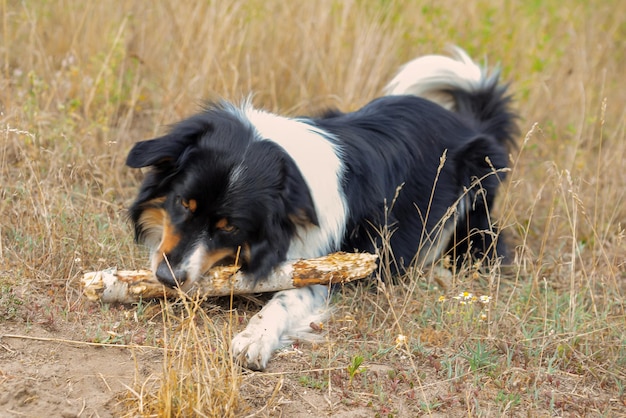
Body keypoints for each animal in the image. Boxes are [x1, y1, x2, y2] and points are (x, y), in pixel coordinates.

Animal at [124, 47, 516, 370]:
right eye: (182, 203)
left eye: (229, 227)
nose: (166, 278)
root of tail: (471, 123)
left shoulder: (323, 266)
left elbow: (285, 298)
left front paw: (255, 338)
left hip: (473, 203)